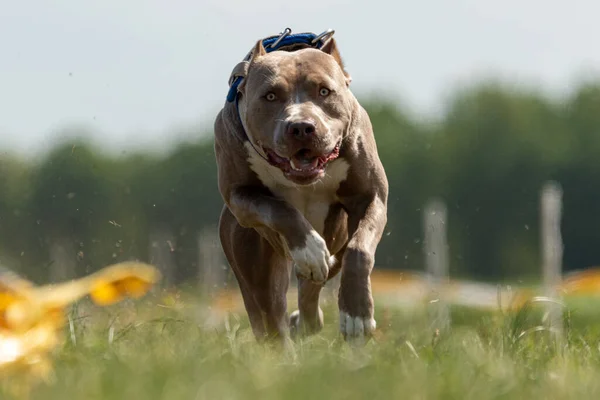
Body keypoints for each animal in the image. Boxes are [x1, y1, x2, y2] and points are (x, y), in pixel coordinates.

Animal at [212, 29, 390, 346]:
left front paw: (356, 315)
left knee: (316, 285)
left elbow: (359, 249)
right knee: (270, 315)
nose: (302, 127)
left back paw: (308, 320)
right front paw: (309, 249)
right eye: (270, 95)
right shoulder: (240, 196)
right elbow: (279, 208)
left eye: (324, 91)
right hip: (251, 256)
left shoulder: (371, 196)